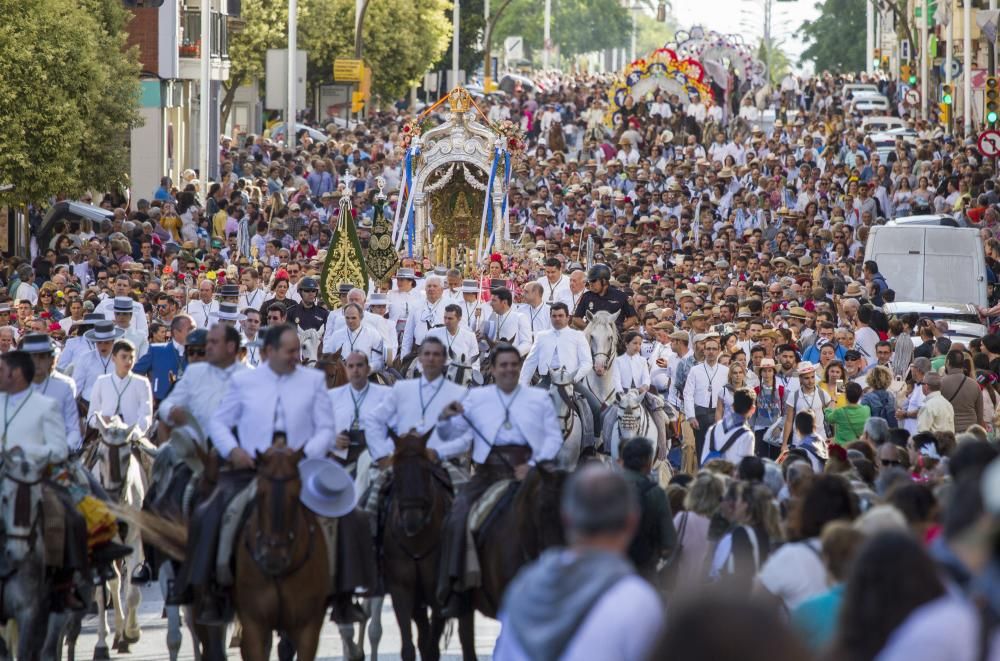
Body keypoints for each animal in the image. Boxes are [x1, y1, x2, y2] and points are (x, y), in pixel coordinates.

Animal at [382, 428, 476, 660]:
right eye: (396, 470)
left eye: (426, 470)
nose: (411, 519)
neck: (418, 541)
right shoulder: (401, 589)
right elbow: (410, 646)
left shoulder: (437, 592)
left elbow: (433, 647)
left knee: (465, 635)